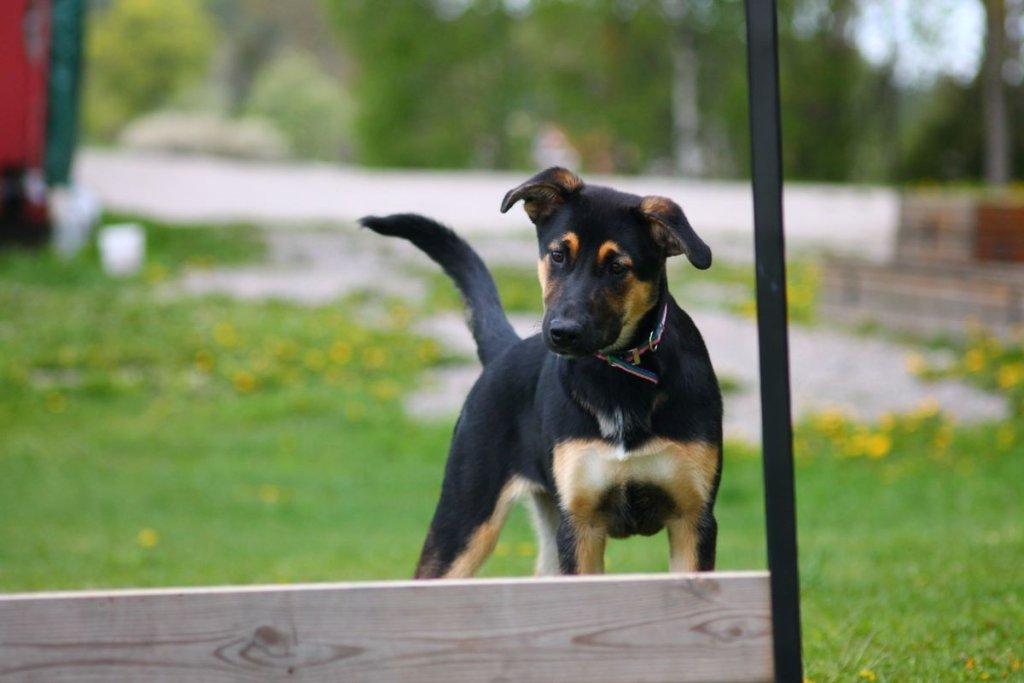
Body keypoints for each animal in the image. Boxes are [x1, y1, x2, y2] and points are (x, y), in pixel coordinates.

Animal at [360, 165, 720, 577]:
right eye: (559, 255)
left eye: (617, 267)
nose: (562, 332)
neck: (621, 372)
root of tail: (506, 351)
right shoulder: (579, 523)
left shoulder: (693, 518)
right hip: (465, 515)